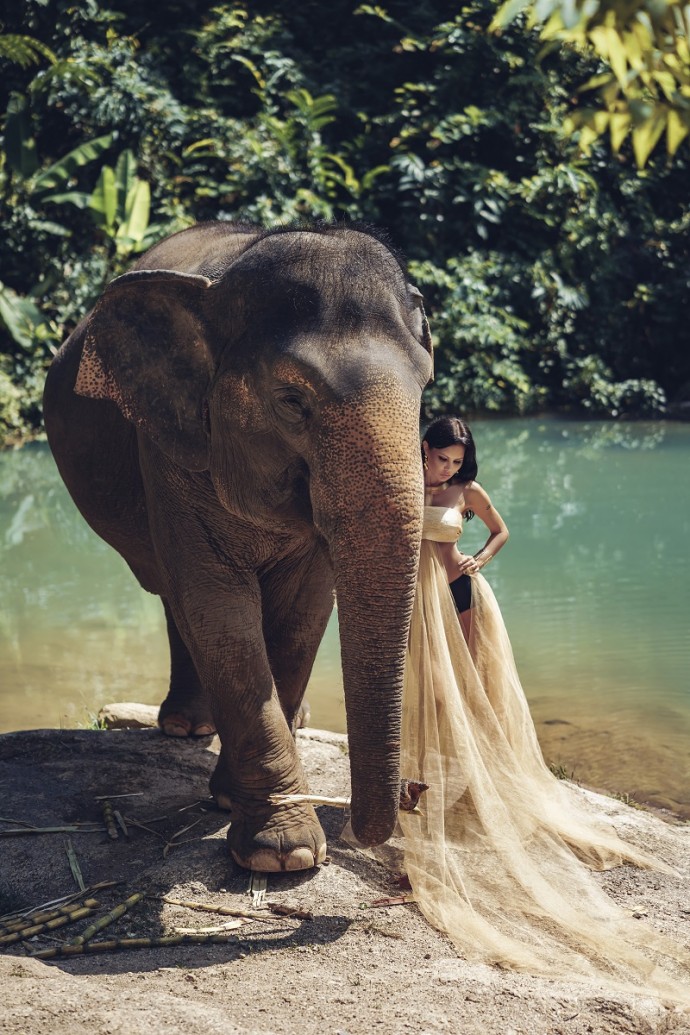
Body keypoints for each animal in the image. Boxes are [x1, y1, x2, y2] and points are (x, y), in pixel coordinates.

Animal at [41, 220, 432, 873]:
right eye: (292, 400)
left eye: (425, 387)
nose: (413, 795)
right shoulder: (168, 448)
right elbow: (215, 603)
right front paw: (282, 855)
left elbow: (304, 611)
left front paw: (243, 810)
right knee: (175, 596)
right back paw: (186, 728)